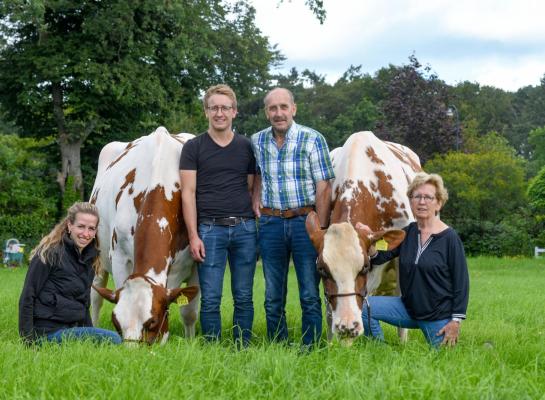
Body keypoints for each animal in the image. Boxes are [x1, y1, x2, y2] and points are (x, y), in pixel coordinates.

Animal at [89, 127, 200, 344]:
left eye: (153, 322)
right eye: (116, 322)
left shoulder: (196, 263)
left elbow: (189, 311)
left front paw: (191, 343)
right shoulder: (119, 257)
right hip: (98, 255)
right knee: (95, 296)